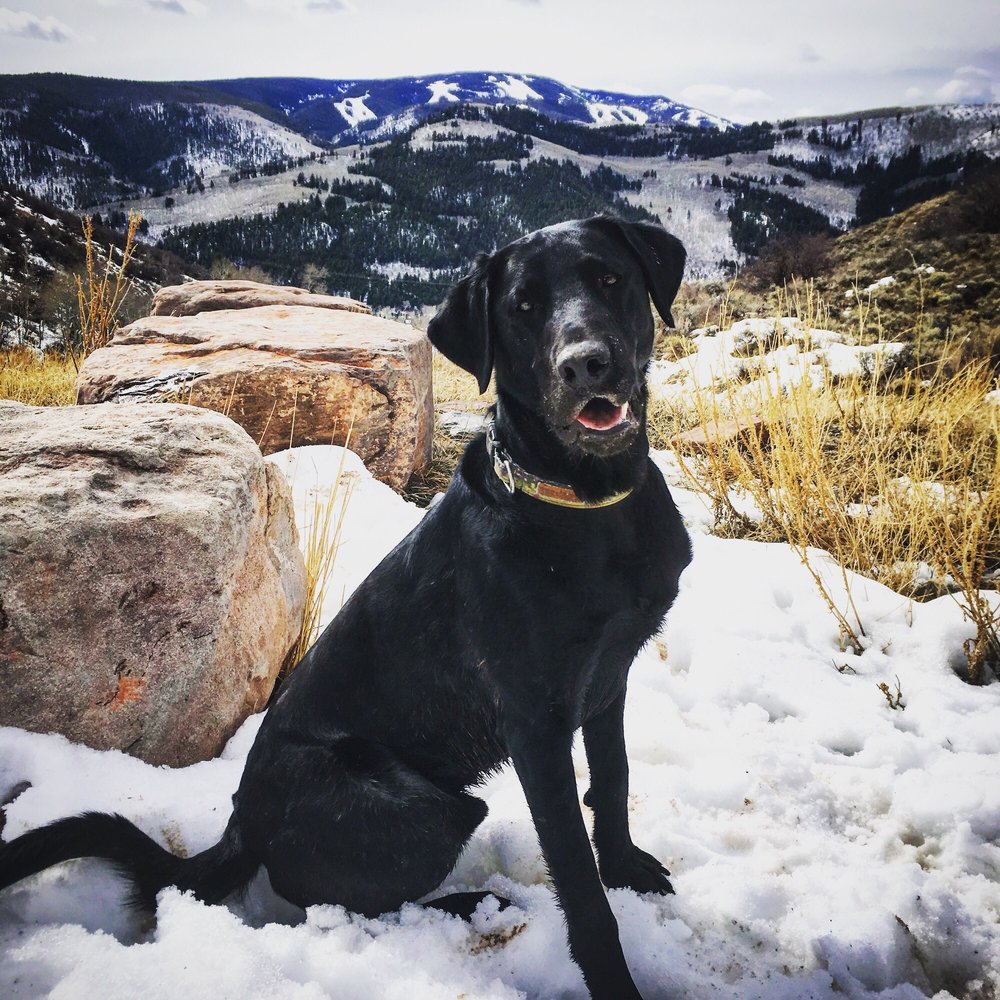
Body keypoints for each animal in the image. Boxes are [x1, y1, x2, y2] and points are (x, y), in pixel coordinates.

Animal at [0, 215, 691, 1000]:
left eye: (609, 277)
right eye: (522, 308)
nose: (586, 365)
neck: (587, 506)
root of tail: (241, 829)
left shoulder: (608, 680)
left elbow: (614, 780)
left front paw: (626, 867)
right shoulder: (535, 726)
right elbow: (577, 881)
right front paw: (614, 973)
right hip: (428, 807)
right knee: (334, 903)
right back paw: (469, 903)